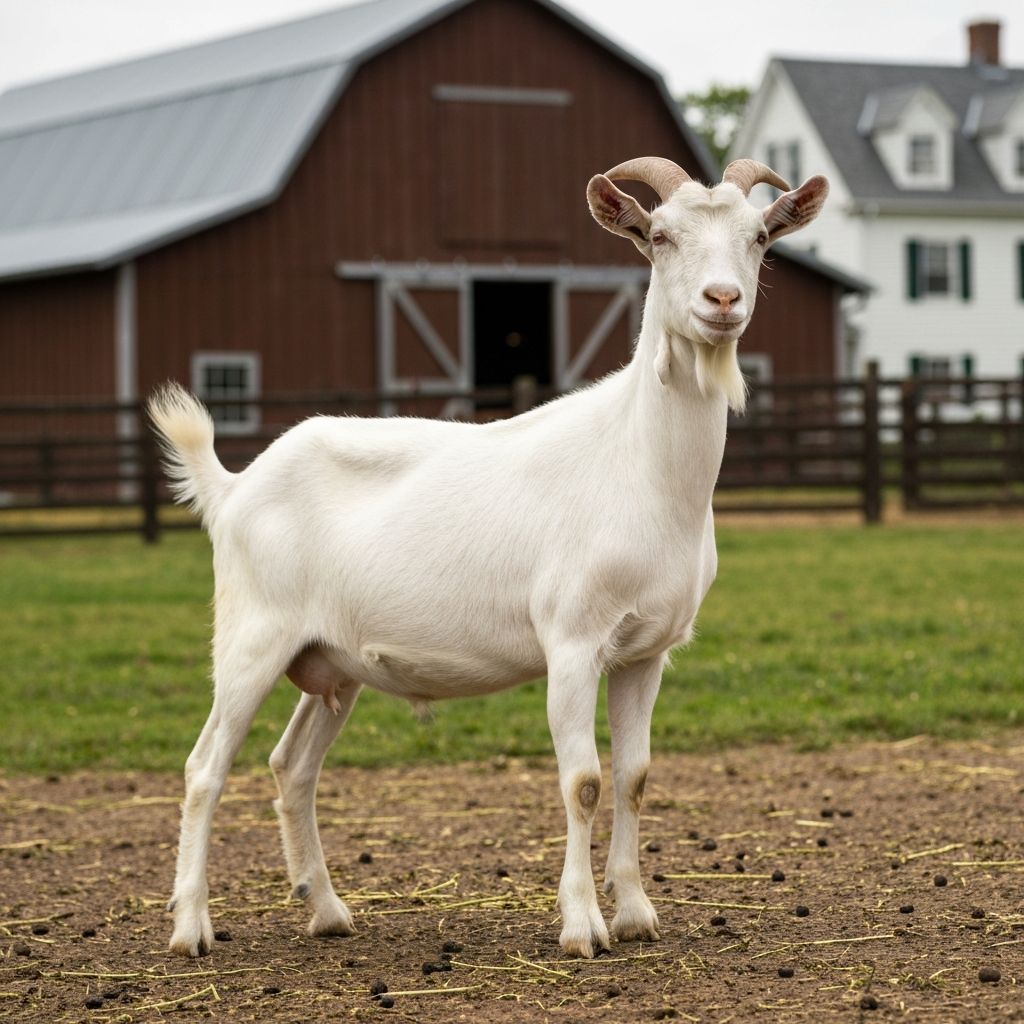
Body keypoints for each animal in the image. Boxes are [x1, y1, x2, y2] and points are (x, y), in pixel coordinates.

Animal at [150, 156, 827, 959]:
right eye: (659, 236)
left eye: (759, 238)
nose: (721, 300)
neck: (640, 464)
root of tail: (233, 487)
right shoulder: (572, 641)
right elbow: (583, 782)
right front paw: (582, 927)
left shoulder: (645, 652)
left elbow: (634, 776)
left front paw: (635, 913)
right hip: (251, 637)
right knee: (205, 767)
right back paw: (191, 927)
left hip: (332, 664)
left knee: (292, 767)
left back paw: (326, 909)